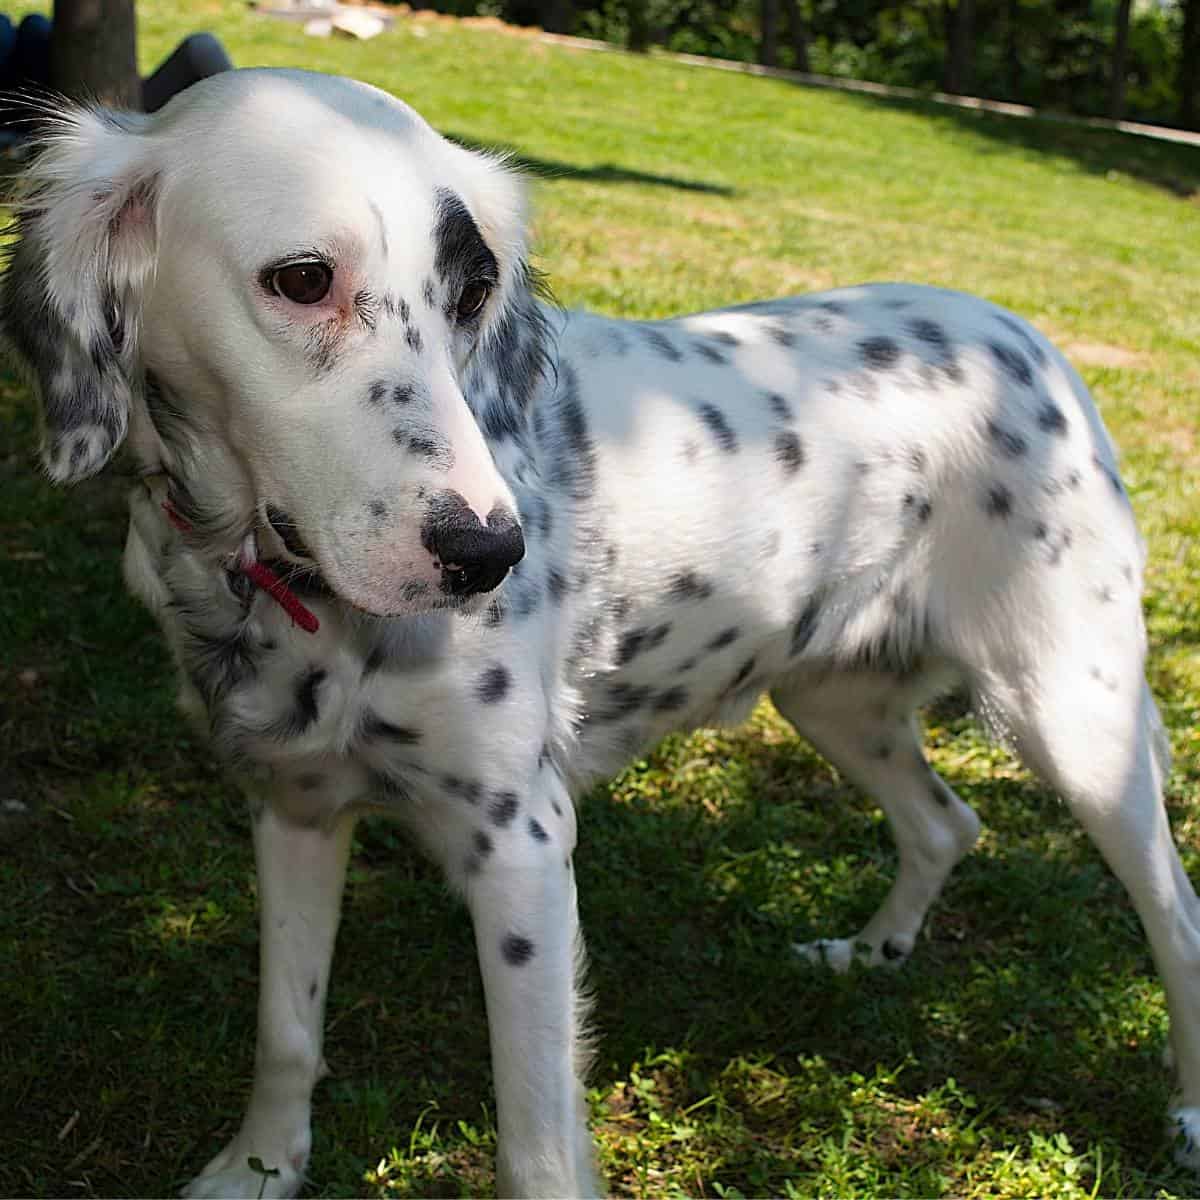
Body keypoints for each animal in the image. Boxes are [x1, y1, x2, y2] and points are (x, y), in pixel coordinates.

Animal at [4, 65, 1195, 1200]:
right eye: (302, 279)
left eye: (473, 291)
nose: (490, 554)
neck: (282, 595)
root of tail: (1032, 343)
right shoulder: (292, 806)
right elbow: (286, 1030)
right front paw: (258, 1168)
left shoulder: (522, 846)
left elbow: (535, 1147)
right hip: (834, 696)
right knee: (947, 823)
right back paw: (871, 952)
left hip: (1076, 717)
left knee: (1175, 914)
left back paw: (1184, 1114)